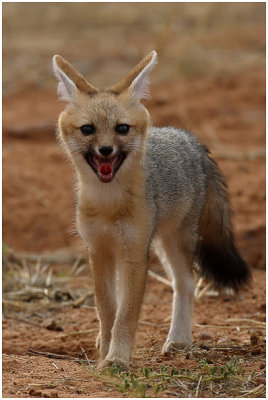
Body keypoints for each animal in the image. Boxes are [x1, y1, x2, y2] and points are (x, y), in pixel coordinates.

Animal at [52, 50, 251, 368]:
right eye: (87, 130)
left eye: (121, 128)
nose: (105, 150)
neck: (109, 204)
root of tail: (188, 138)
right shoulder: (98, 250)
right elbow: (107, 309)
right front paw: (105, 350)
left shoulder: (135, 253)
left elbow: (126, 314)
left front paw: (117, 359)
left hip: (173, 242)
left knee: (186, 284)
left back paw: (179, 340)